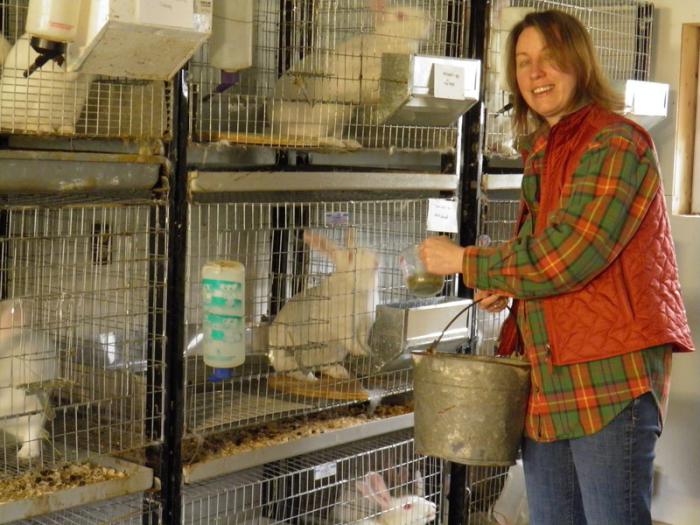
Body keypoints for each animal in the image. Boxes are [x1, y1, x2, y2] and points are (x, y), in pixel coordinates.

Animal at [266, 229, 378, 380]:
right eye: (350, 256)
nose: (376, 262)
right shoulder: (344, 326)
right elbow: (352, 341)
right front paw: (359, 352)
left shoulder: (364, 325)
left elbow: (362, 340)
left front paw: (368, 352)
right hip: (288, 353)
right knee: (292, 370)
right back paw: (310, 378)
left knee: (325, 367)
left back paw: (341, 373)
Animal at [270, 0, 430, 145]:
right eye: (401, 15)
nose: (430, 19)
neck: (387, 40)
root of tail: (277, 129)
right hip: (321, 119)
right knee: (312, 138)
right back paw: (333, 142)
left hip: (342, 119)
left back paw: (349, 142)